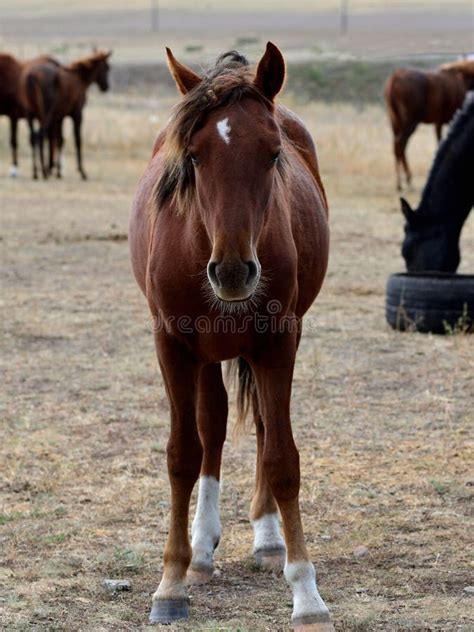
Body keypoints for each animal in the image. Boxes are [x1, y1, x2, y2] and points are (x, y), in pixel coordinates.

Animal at [128, 42, 332, 628]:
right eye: (194, 157)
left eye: (272, 153)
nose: (235, 271)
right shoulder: (173, 346)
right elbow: (182, 454)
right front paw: (170, 583)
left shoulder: (276, 342)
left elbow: (282, 458)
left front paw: (306, 594)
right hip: (204, 354)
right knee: (212, 428)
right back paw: (200, 551)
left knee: (260, 426)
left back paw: (267, 539)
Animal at [384, 59, 474, 190]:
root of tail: (394, 78)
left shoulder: (439, 123)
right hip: (410, 122)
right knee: (400, 145)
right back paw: (406, 181)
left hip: (395, 122)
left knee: (396, 145)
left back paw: (400, 182)